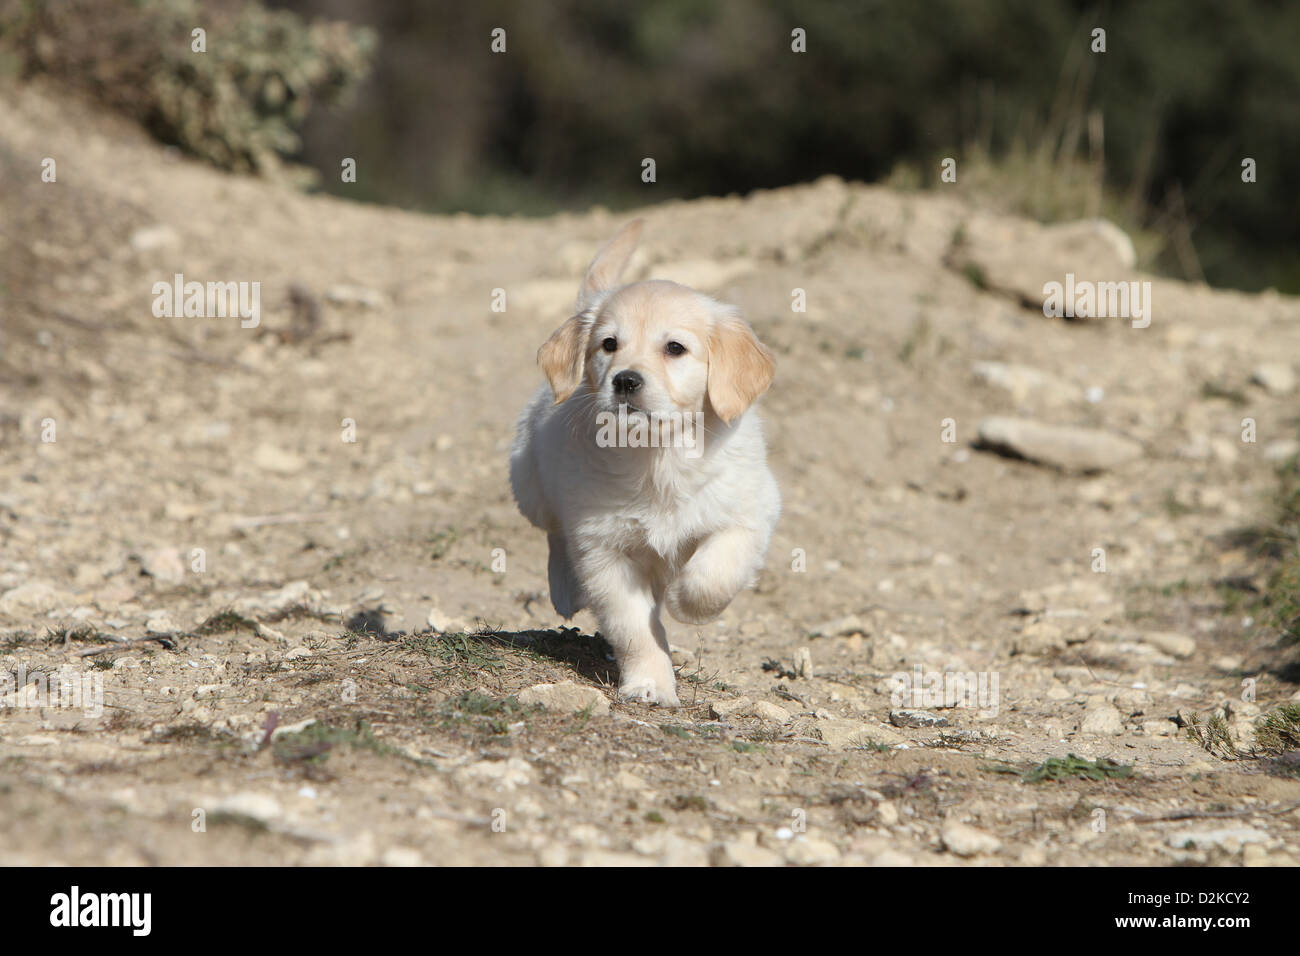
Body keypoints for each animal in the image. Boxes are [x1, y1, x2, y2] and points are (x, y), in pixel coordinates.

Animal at [509, 222, 780, 702]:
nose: (625, 381)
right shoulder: (604, 551)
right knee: (554, 533)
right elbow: (634, 628)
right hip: (531, 484)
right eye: (608, 345)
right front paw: (650, 684)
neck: (658, 458)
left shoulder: (750, 513)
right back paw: (564, 588)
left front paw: (684, 602)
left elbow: (713, 575)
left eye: (675, 348)